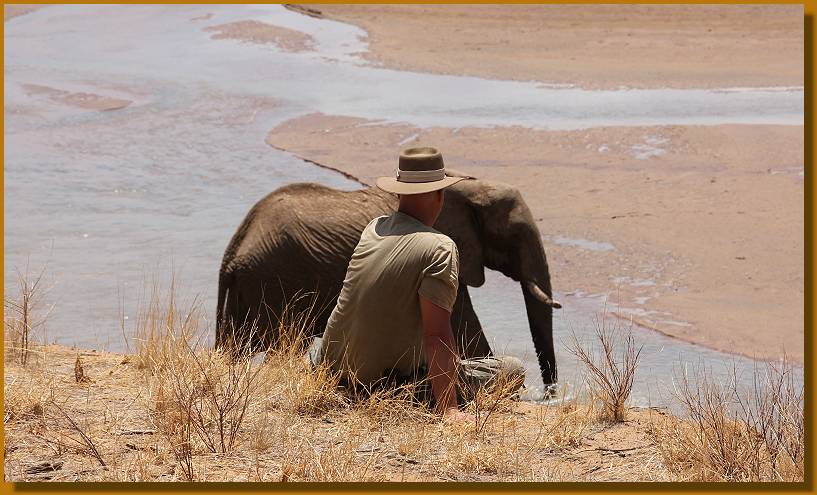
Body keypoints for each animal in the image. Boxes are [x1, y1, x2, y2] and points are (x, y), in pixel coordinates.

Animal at [215, 176, 560, 390]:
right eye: (514, 234)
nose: (550, 394)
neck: (471, 183)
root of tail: (232, 254)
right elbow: (464, 334)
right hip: (276, 284)